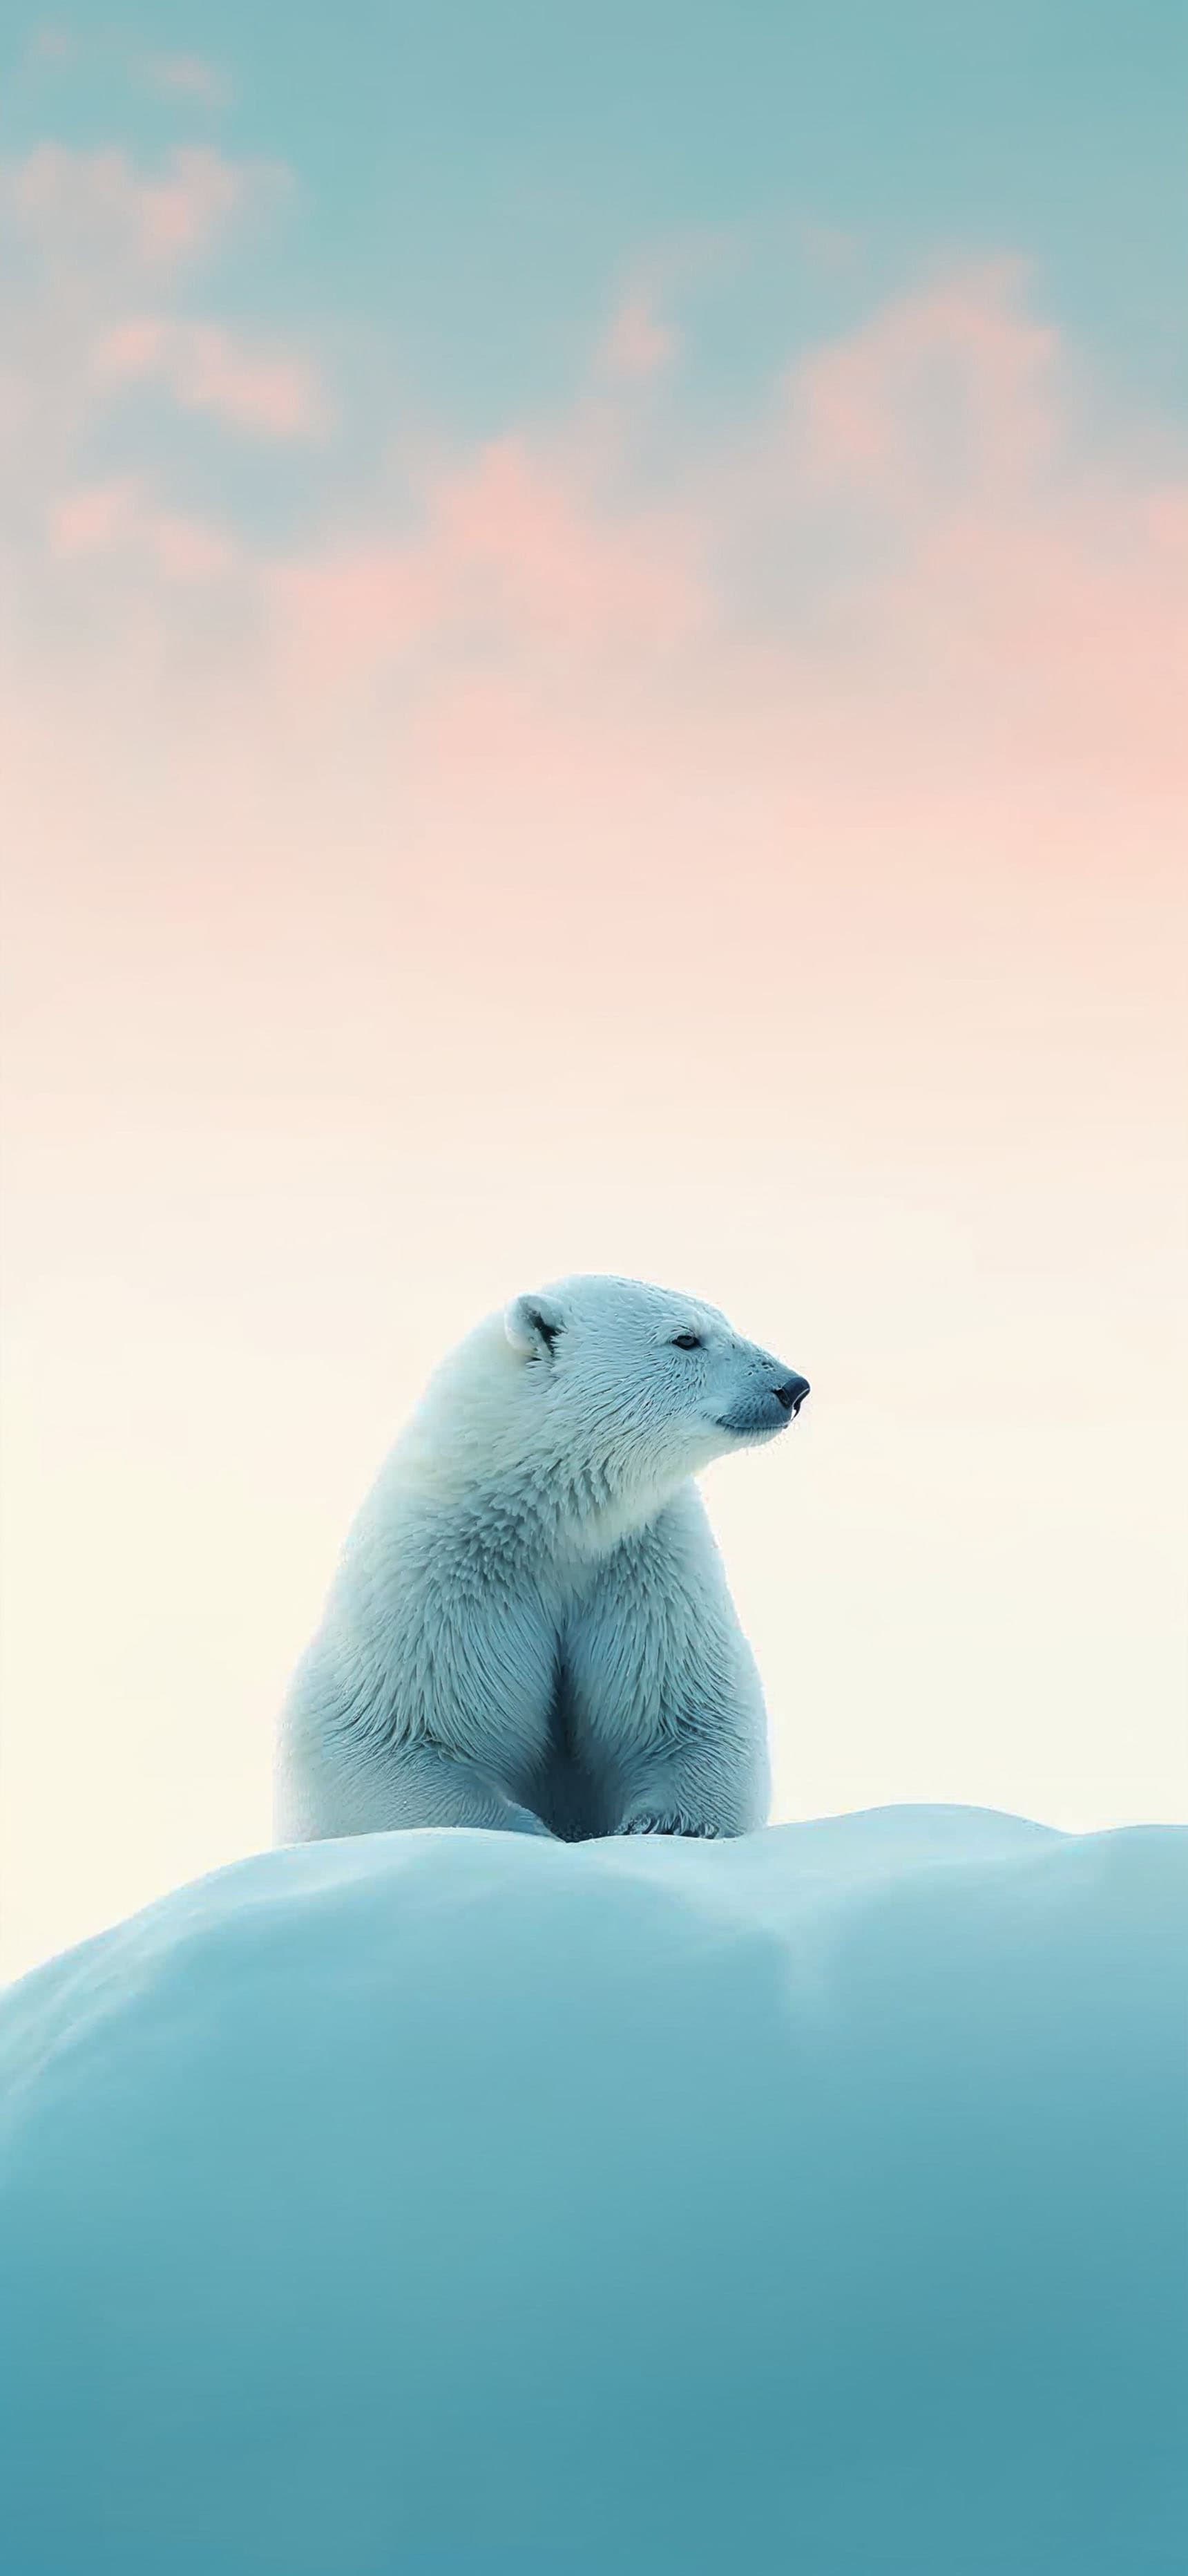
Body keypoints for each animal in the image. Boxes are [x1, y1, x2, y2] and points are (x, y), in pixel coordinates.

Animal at [274, 1274, 809, 1845]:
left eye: (727, 1322)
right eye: (685, 1339)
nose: (792, 1387)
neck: (554, 1526)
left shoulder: (645, 1565)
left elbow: (683, 1712)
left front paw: (664, 1825)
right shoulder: (442, 1582)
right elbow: (393, 1741)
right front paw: (528, 1834)